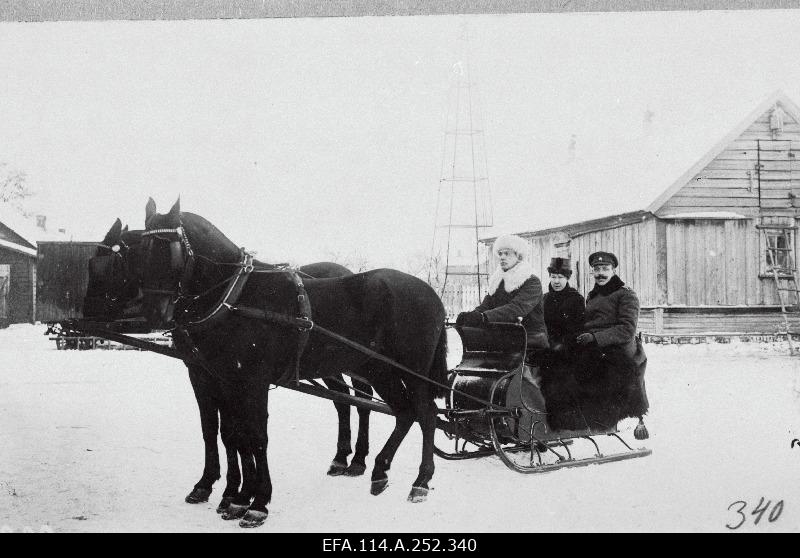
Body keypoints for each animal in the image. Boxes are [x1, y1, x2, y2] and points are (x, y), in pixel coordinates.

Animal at [140, 200, 446, 528]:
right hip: (379, 370)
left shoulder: (252, 381)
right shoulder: (220, 377)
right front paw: (234, 496)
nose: (154, 314)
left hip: (412, 372)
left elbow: (255, 437)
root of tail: (431, 293)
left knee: (426, 414)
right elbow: (230, 433)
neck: (237, 295)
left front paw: (256, 502)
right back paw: (379, 470)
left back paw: (420, 481)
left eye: (170, 251)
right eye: (142, 249)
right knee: (402, 412)